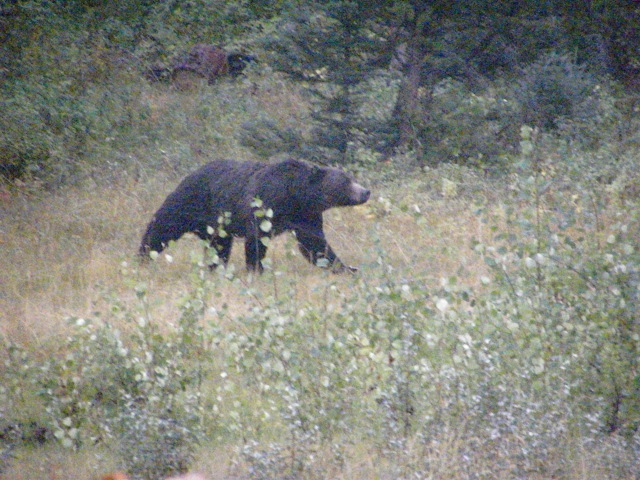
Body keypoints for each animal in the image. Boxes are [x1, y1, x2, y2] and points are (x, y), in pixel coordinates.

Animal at [139, 158, 370, 273]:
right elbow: (257, 237)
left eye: (351, 177)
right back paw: (143, 255)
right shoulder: (267, 201)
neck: (295, 193)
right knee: (163, 227)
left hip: (217, 223)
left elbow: (314, 243)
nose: (366, 191)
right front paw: (256, 268)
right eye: (346, 181)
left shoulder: (305, 214)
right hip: (193, 200)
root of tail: (192, 172)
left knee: (219, 245)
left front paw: (346, 267)